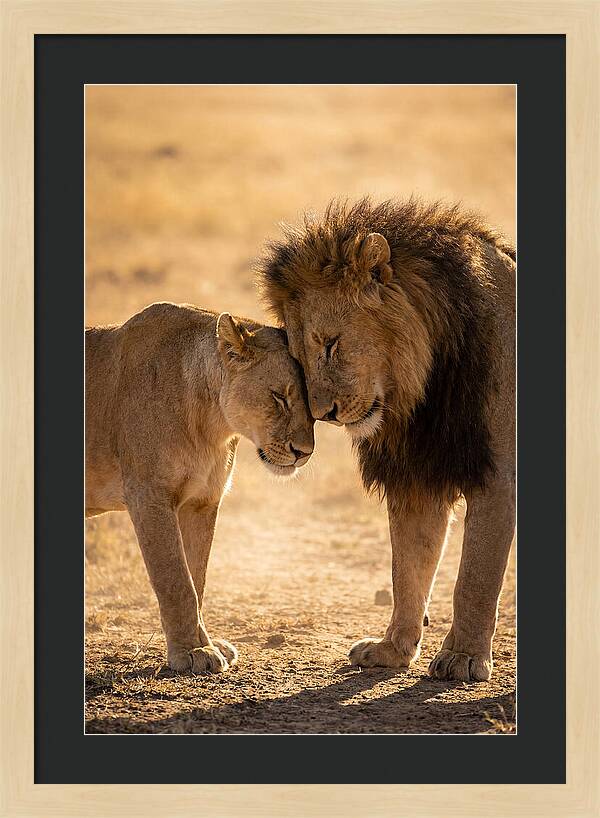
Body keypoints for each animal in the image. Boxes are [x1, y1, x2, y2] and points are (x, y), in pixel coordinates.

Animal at [85, 302, 314, 673]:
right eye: (279, 397)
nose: (304, 452)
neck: (212, 424)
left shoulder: (202, 502)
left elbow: (197, 578)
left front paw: (206, 643)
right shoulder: (149, 496)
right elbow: (176, 581)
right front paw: (191, 652)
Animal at [258, 197, 515, 682]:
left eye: (331, 344)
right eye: (298, 358)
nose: (324, 414)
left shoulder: (499, 476)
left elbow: (474, 576)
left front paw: (463, 657)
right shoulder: (417, 478)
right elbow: (408, 568)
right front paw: (393, 649)